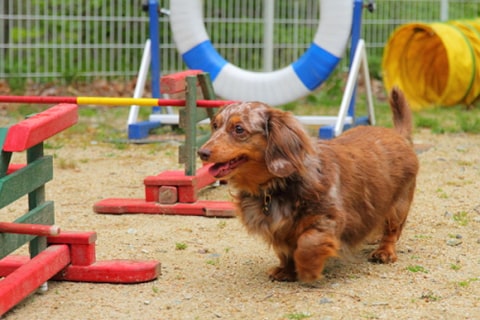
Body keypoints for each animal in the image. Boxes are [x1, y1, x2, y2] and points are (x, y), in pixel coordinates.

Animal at [197, 87, 418, 282]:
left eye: (239, 129)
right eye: (215, 125)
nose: (202, 153)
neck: (276, 185)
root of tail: (398, 134)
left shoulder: (330, 218)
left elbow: (307, 242)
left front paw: (308, 268)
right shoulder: (278, 229)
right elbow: (285, 250)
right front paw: (286, 270)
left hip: (399, 204)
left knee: (392, 230)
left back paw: (384, 252)